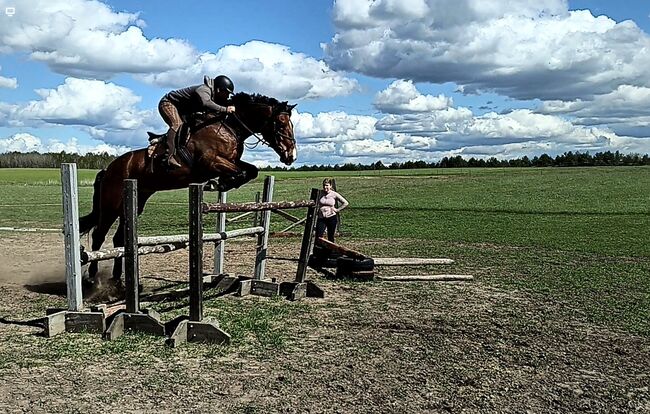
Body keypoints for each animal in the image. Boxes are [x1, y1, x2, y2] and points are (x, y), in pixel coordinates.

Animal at [77, 92, 298, 288]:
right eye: (280, 123)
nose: (291, 155)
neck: (229, 127)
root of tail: (108, 169)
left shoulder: (231, 161)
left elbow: (251, 170)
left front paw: (223, 183)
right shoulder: (211, 162)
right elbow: (240, 172)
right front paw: (218, 183)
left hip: (133, 204)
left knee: (119, 239)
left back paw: (117, 279)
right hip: (110, 205)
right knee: (99, 236)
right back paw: (92, 278)